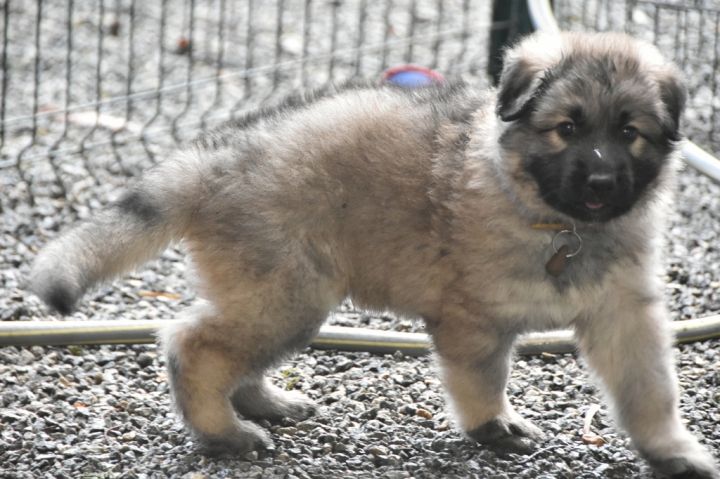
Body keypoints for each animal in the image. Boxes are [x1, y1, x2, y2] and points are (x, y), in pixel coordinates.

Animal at [29, 31, 718, 478]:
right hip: (288, 292)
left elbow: (650, 388)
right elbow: (482, 377)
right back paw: (224, 432)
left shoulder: (625, 313)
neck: (556, 221)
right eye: (567, 128)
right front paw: (492, 426)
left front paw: (671, 451)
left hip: (279, 295)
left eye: (629, 133)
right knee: (191, 344)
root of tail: (216, 157)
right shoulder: (472, 318)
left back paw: (263, 404)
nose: (601, 183)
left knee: (227, 350)